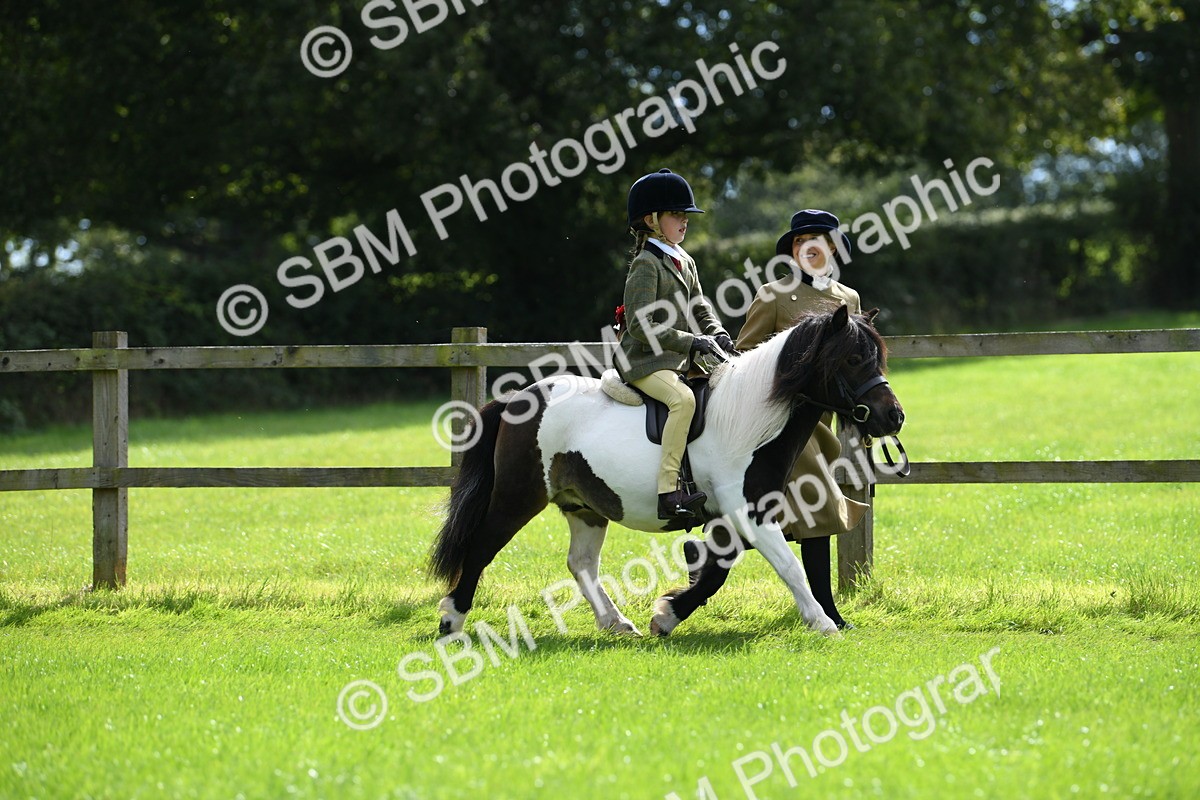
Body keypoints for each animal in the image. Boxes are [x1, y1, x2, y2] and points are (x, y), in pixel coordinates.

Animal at [429, 304, 904, 638]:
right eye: (853, 359)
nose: (894, 417)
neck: (750, 418)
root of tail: (517, 399)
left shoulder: (737, 514)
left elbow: (719, 569)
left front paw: (668, 614)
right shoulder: (747, 512)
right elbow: (787, 566)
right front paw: (822, 622)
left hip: (584, 506)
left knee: (581, 563)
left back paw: (616, 622)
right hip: (518, 497)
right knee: (481, 546)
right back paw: (452, 620)